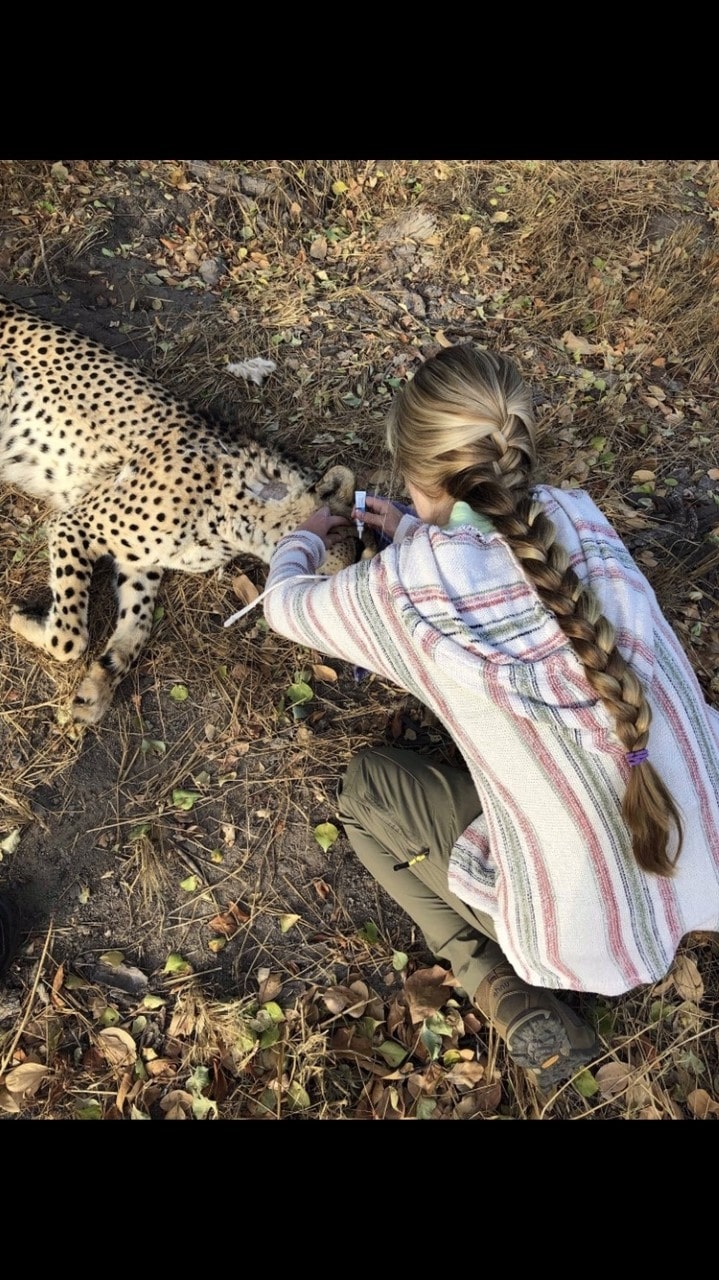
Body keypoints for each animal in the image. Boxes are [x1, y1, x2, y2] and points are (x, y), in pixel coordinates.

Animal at [0, 295, 357, 725]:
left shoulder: (140, 564)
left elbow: (137, 628)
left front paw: (98, 685)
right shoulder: (74, 524)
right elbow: (70, 638)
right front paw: (25, 619)